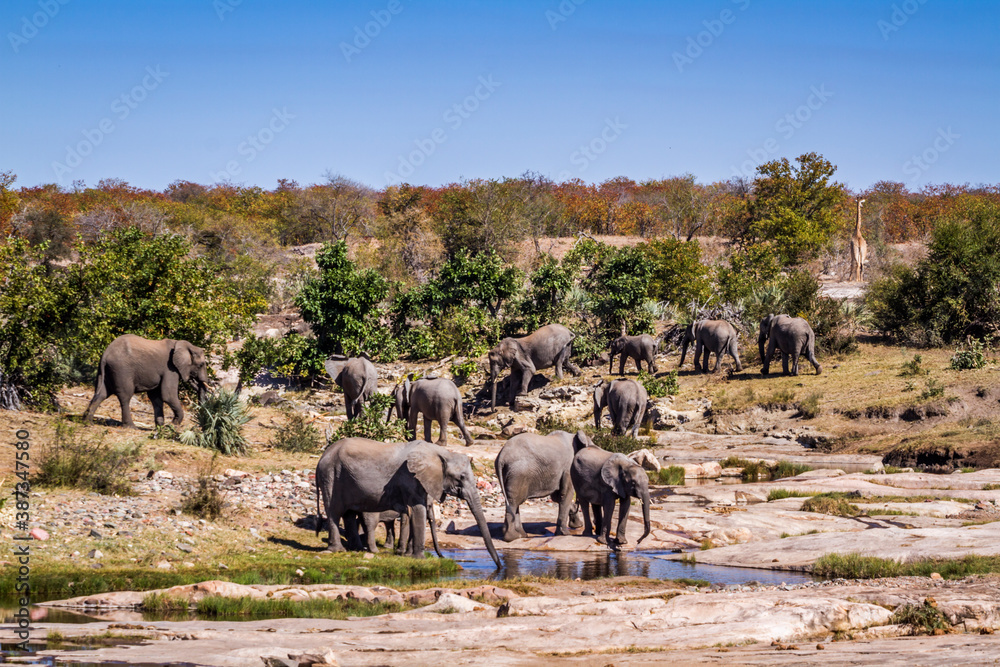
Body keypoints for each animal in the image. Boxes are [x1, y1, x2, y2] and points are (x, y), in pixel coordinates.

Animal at [315, 437, 501, 568]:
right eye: (461, 477)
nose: (499, 567)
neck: (442, 453)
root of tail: (322, 456)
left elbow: (412, 513)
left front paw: (409, 555)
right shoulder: (410, 477)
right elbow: (417, 510)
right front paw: (420, 558)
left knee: (349, 513)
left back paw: (357, 550)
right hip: (331, 476)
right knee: (334, 512)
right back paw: (338, 550)